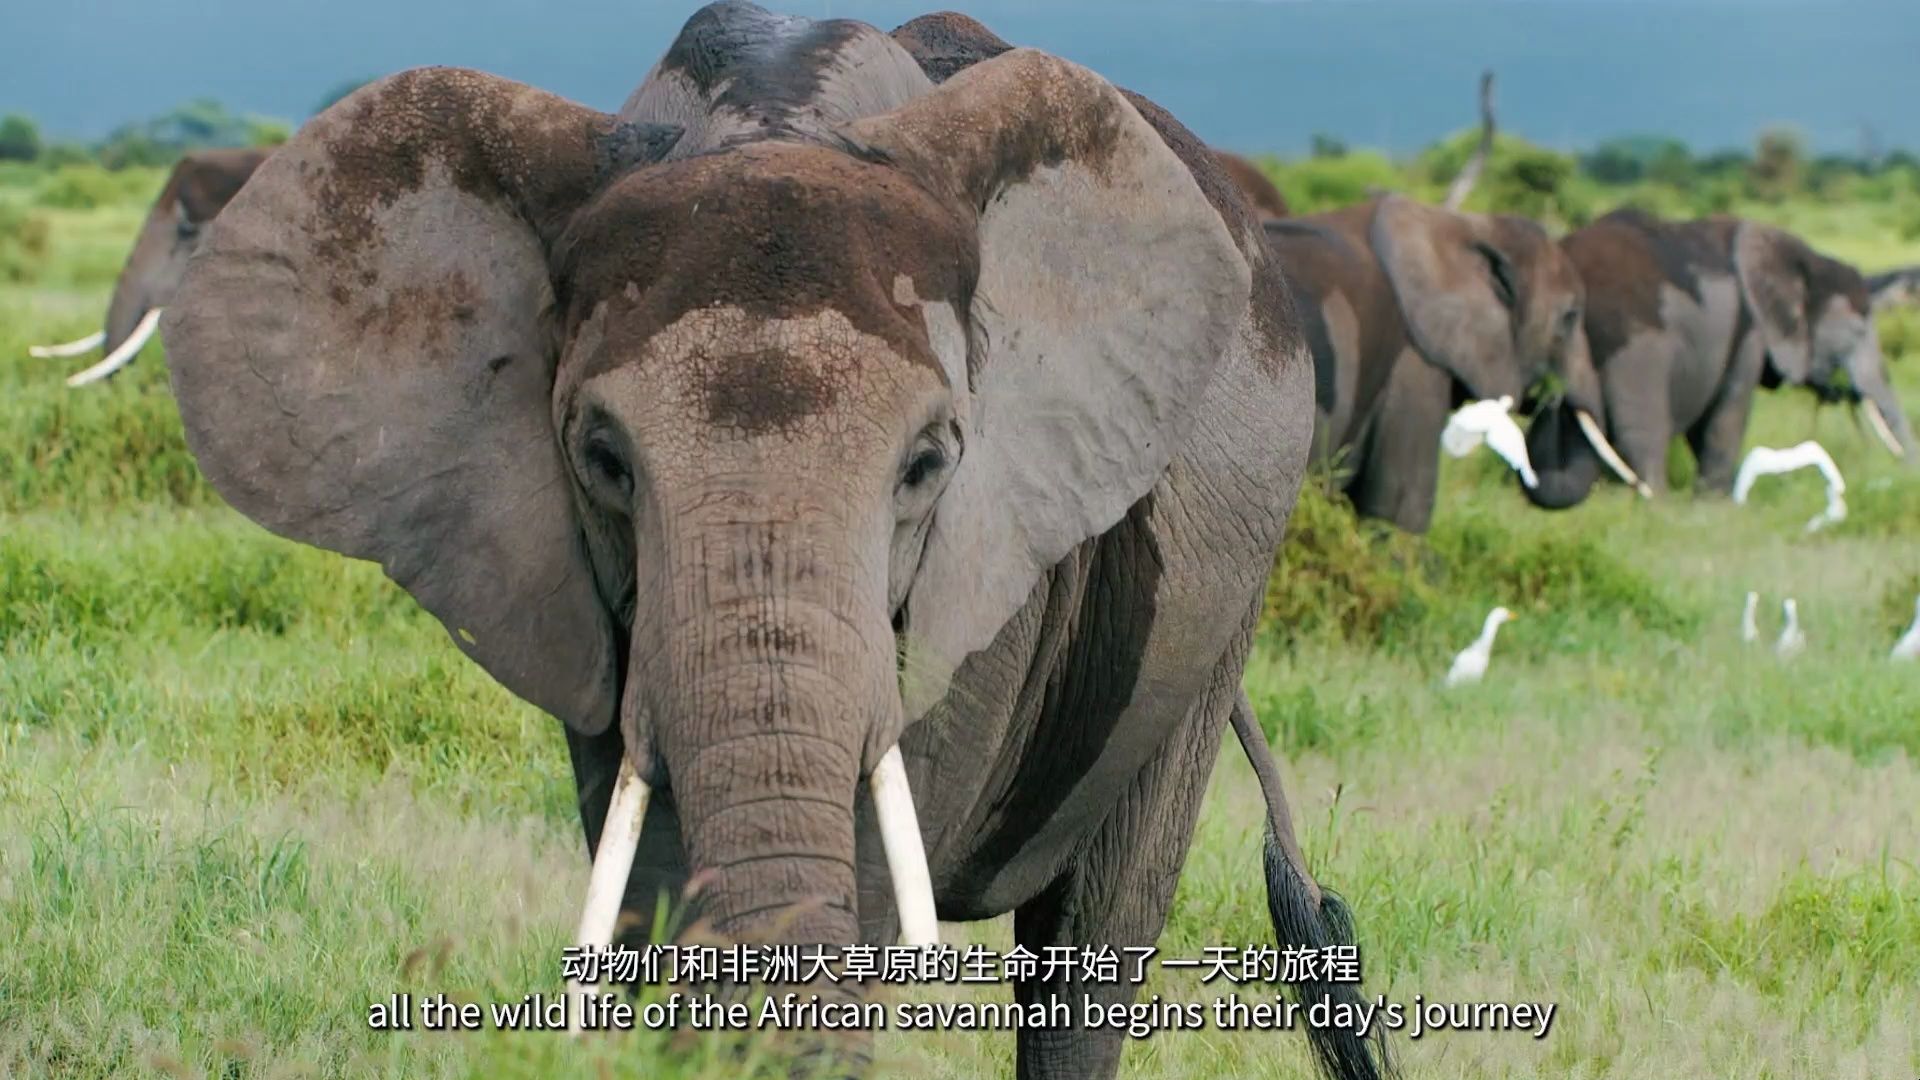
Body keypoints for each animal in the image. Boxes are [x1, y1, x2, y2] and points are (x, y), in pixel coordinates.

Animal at [1520, 208, 1912, 507]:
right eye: (1858, 332)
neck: (1805, 259)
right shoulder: (1750, 332)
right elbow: (1726, 416)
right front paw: (1714, 508)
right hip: (1635, 347)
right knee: (1642, 430)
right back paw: (1655, 505)